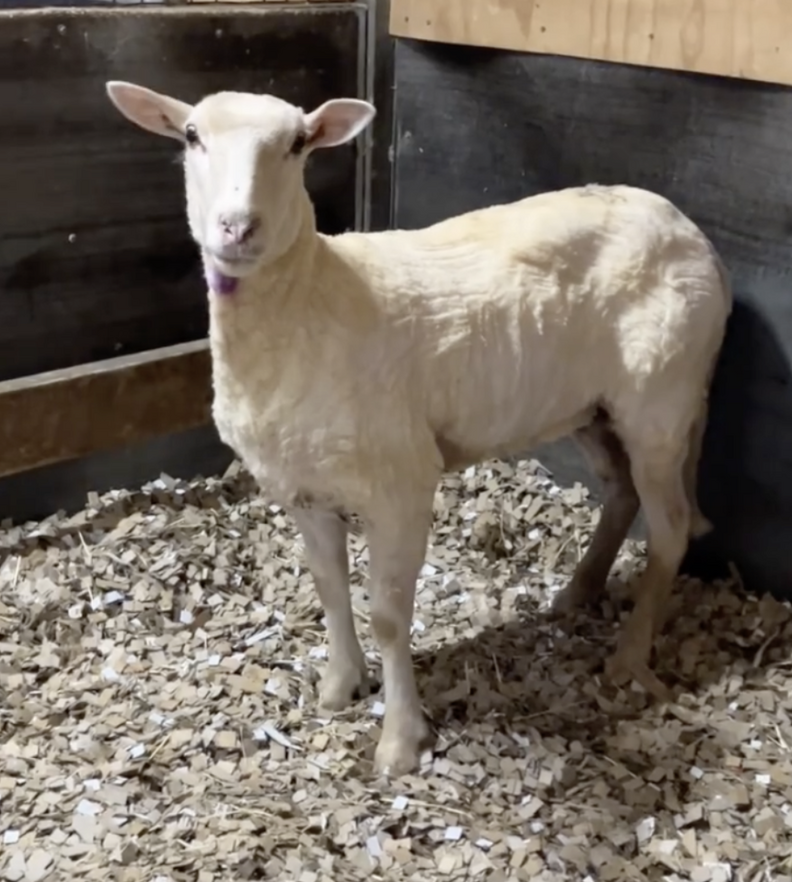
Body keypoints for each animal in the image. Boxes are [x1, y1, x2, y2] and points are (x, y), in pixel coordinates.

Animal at [105, 80, 732, 778]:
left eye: (298, 143)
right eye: (191, 136)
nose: (238, 227)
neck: (307, 304)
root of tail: (691, 232)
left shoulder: (401, 481)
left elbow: (386, 614)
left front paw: (401, 741)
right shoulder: (301, 487)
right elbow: (329, 589)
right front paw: (340, 687)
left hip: (662, 395)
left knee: (670, 525)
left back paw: (629, 657)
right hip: (592, 406)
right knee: (621, 492)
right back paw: (580, 590)